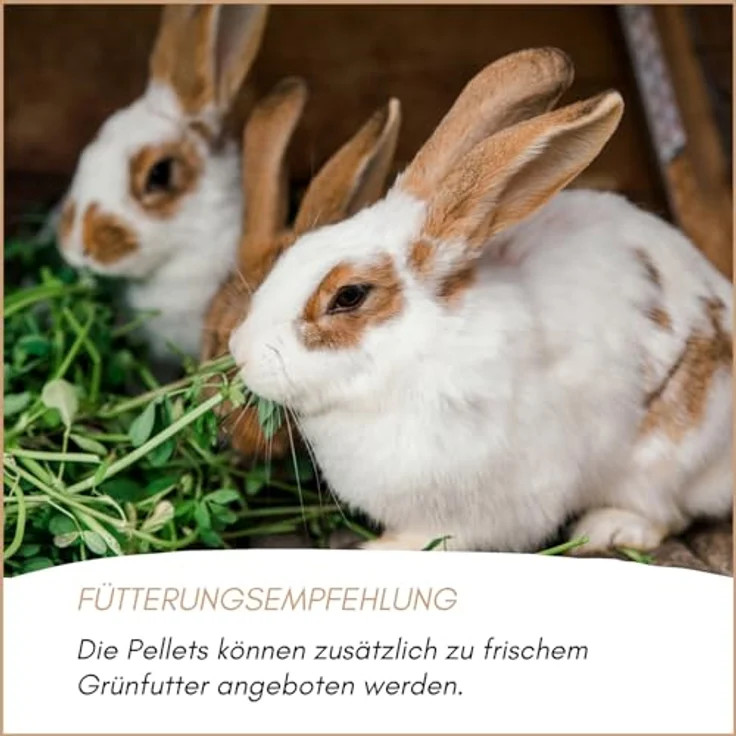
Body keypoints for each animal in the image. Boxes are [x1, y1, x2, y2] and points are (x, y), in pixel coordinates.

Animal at [226, 46, 733, 554]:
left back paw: (607, 528)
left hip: (663, 453)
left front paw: (384, 547)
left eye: (349, 296)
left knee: (666, 511)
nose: (240, 352)